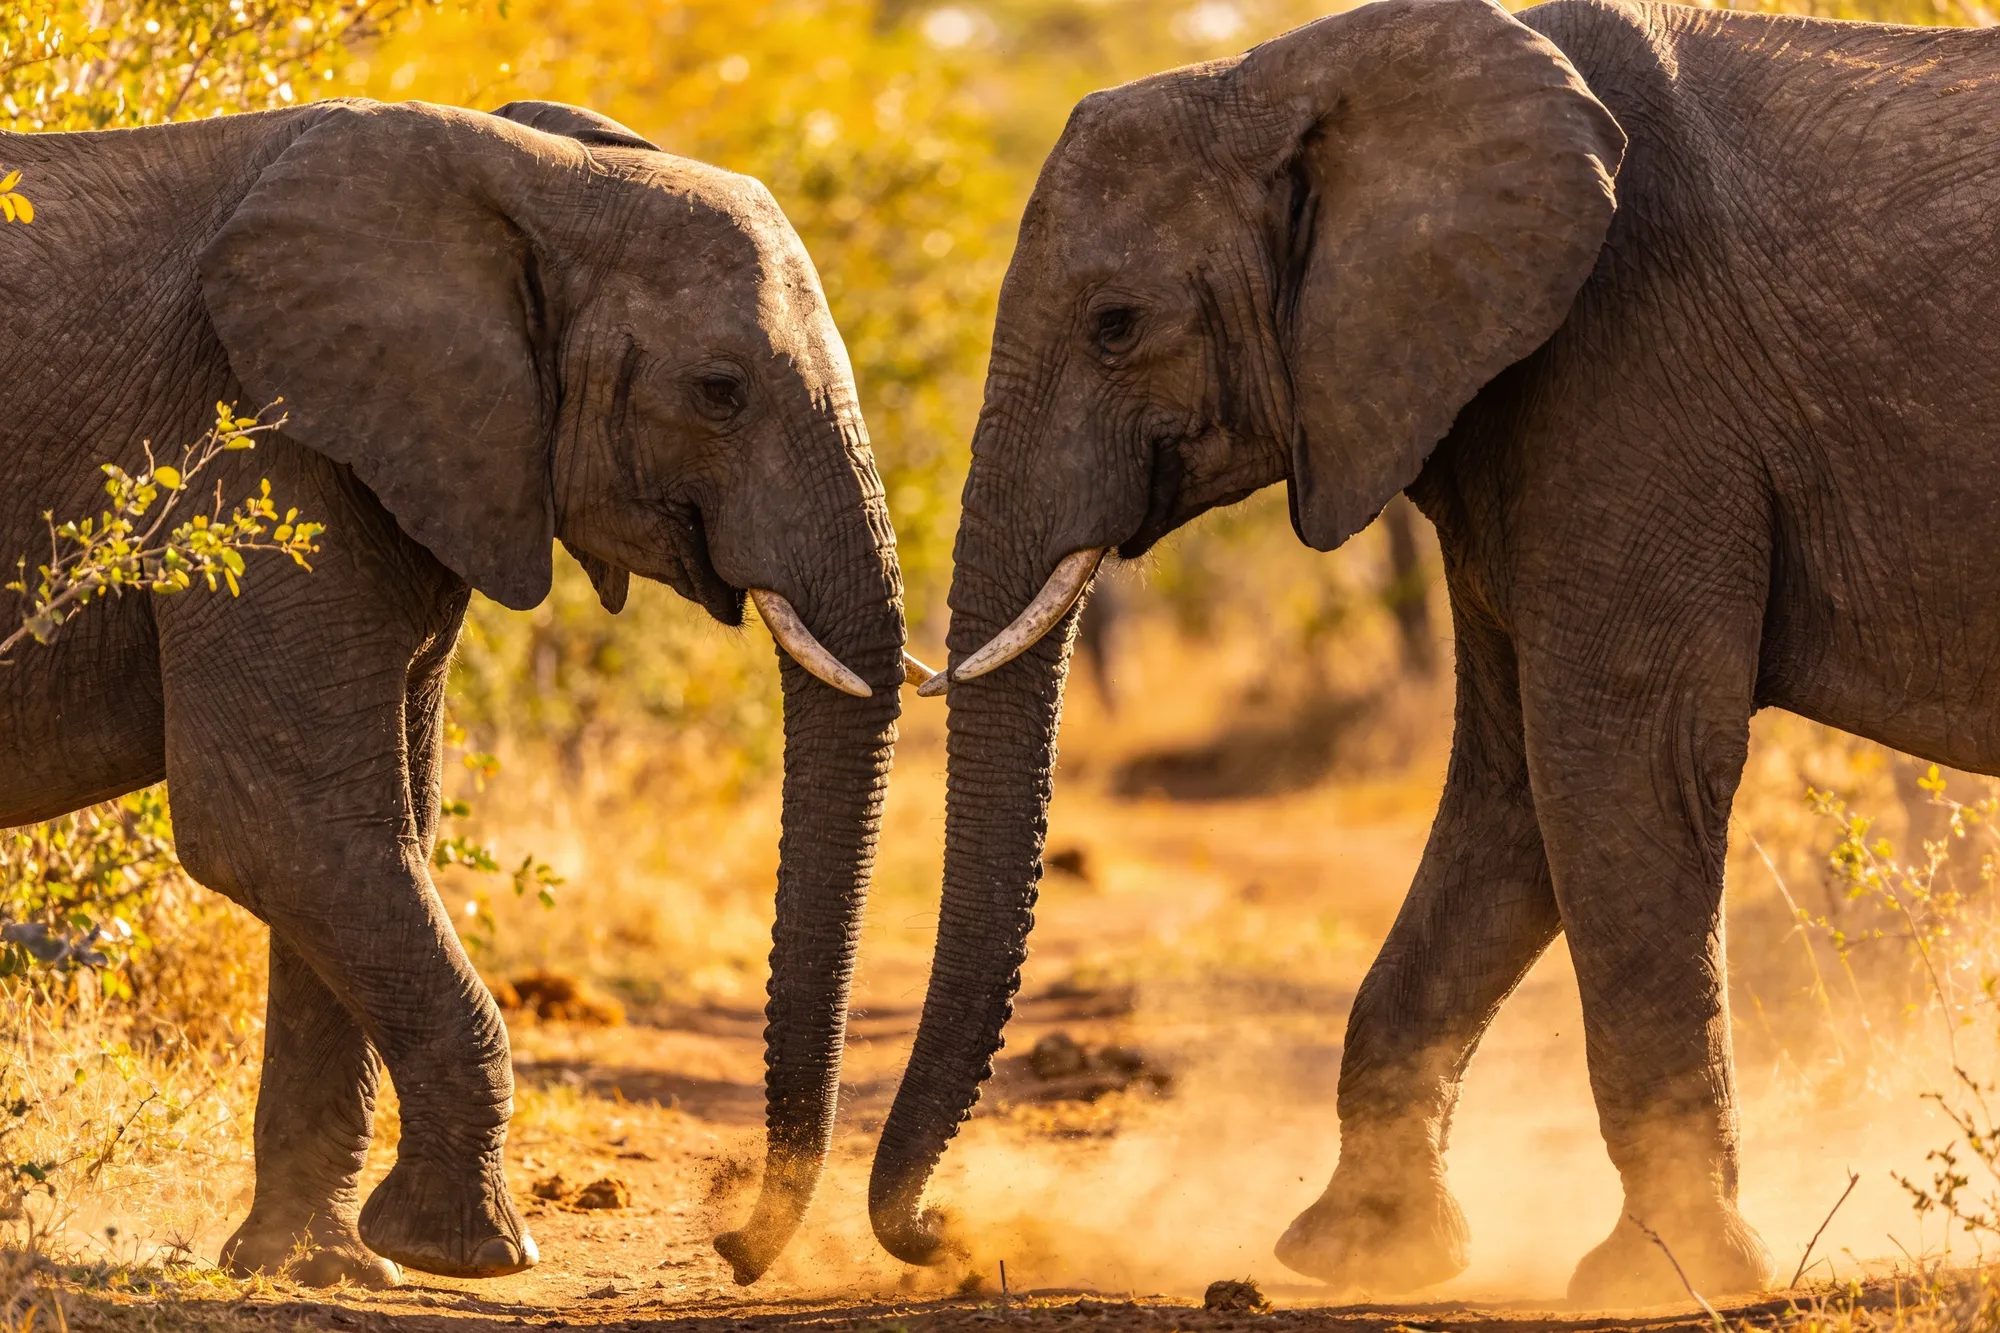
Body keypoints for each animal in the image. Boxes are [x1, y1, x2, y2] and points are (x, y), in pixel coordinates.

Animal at [0, 96, 917, 1286]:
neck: (529, 177)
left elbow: (372, 835)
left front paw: (320, 1267)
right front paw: (474, 1254)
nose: (733, 1244)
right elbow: (282, 826)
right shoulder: (255, 448)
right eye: (719, 391)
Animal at [860, 0, 2000, 1305]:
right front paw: (1358, 1252)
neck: (1303, 72)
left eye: (1115, 326)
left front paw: (1657, 1277)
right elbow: (1508, 796)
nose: (946, 1233)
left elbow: (1617, 758)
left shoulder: (1634, 376)